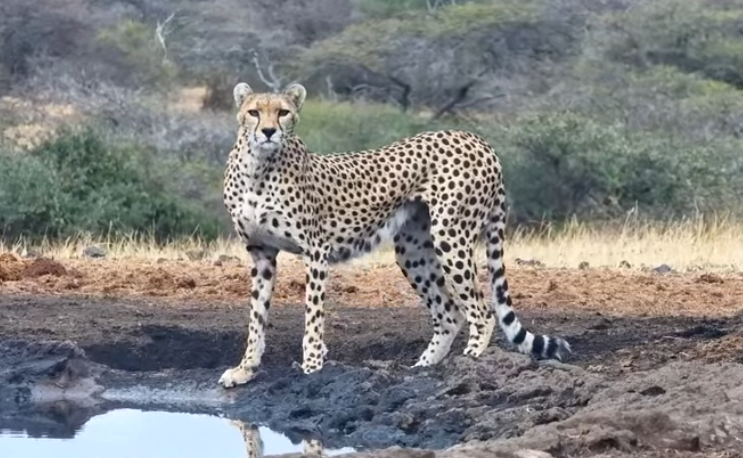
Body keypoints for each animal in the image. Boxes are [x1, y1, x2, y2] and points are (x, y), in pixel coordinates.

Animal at [218, 81, 570, 388]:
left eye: (283, 112)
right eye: (253, 112)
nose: (268, 132)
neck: (258, 169)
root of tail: (477, 139)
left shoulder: (316, 250)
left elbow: (313, 315)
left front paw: (313, 367)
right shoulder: (261, 253)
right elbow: (256, 317)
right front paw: (245, 369)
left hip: (450, 234)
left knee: (481, 312)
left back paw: (469, 362)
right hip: (412, 248)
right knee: (449, 313)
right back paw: (423, 368)